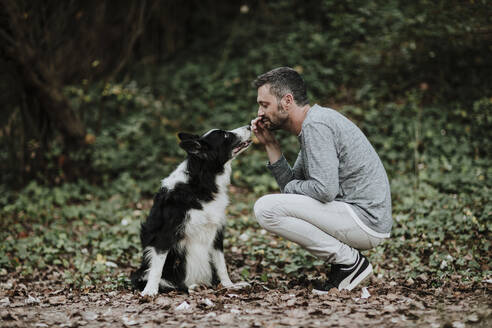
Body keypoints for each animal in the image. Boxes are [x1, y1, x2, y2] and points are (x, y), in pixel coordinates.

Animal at [131, 125, 252, 294]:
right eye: (225, 136)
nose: (249, 125)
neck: (201, 182)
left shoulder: (216, 232)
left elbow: (221, 265)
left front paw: (229, 285)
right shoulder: (165, 234)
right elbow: (157, 268)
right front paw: (150, 291)